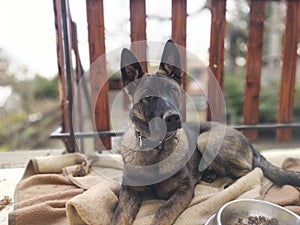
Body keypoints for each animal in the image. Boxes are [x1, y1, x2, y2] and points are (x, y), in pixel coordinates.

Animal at [110, 39, 300, 224]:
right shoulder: (129, 191)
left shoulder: (184, 189)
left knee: (252, 171)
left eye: (173, 91)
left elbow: (163, 211)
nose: (173, 118)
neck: (156, 148)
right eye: (148, 97)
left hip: (205, 140)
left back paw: (231, 185)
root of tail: (248, 141)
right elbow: (119, 216)